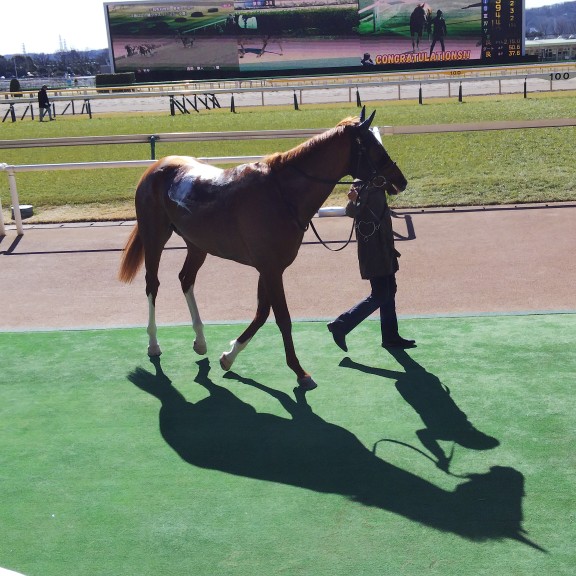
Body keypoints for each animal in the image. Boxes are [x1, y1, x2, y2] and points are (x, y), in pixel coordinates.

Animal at [118, 108, 407, 391]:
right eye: (374, 148)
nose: (400, 180)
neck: (282, 194)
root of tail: (155, 167)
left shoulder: (269, 268)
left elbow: (261, 313)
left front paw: (229, 356)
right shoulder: (270, 269)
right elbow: (282, 317)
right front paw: (300, 372)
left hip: (197, 245)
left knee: (186, 279)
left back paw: (200, 341)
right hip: (154, 237)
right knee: (153, 284)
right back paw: (154, 344)